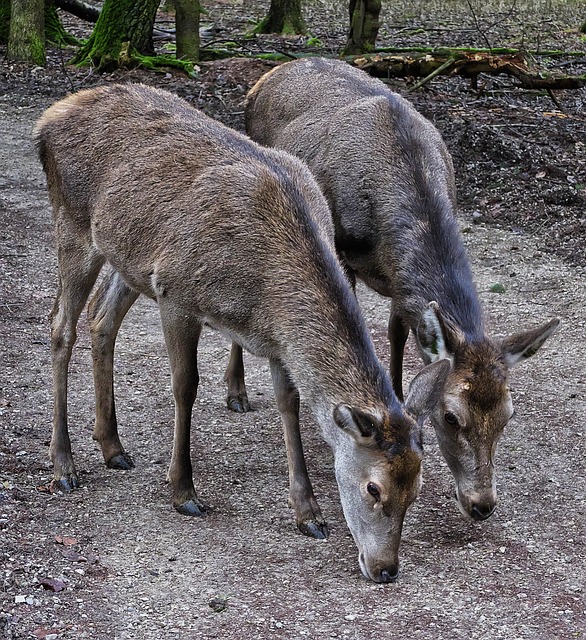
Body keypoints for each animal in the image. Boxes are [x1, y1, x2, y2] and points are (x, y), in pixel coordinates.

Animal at [33, 82, 448, 584]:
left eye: (417, 489)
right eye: (373, 488)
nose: (387, 569)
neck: (268, 290)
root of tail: (48, 119)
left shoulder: (273, 339)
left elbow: (289, 405)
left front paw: (308, 513)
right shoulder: (175, 291)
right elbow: (185, 386)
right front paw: (184, 490)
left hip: (126, 257)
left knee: (101, 320)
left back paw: (113, 447)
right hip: (72, 225)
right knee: (60, 327)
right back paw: (63, 464)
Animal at [222, 57, 556, 524]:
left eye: (508, 414)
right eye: (451, 417)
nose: (482, 505)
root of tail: (267, 76)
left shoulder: (400, 282)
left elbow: (399, 334)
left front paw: (399, 399)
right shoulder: (341, 251)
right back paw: (236, 391)